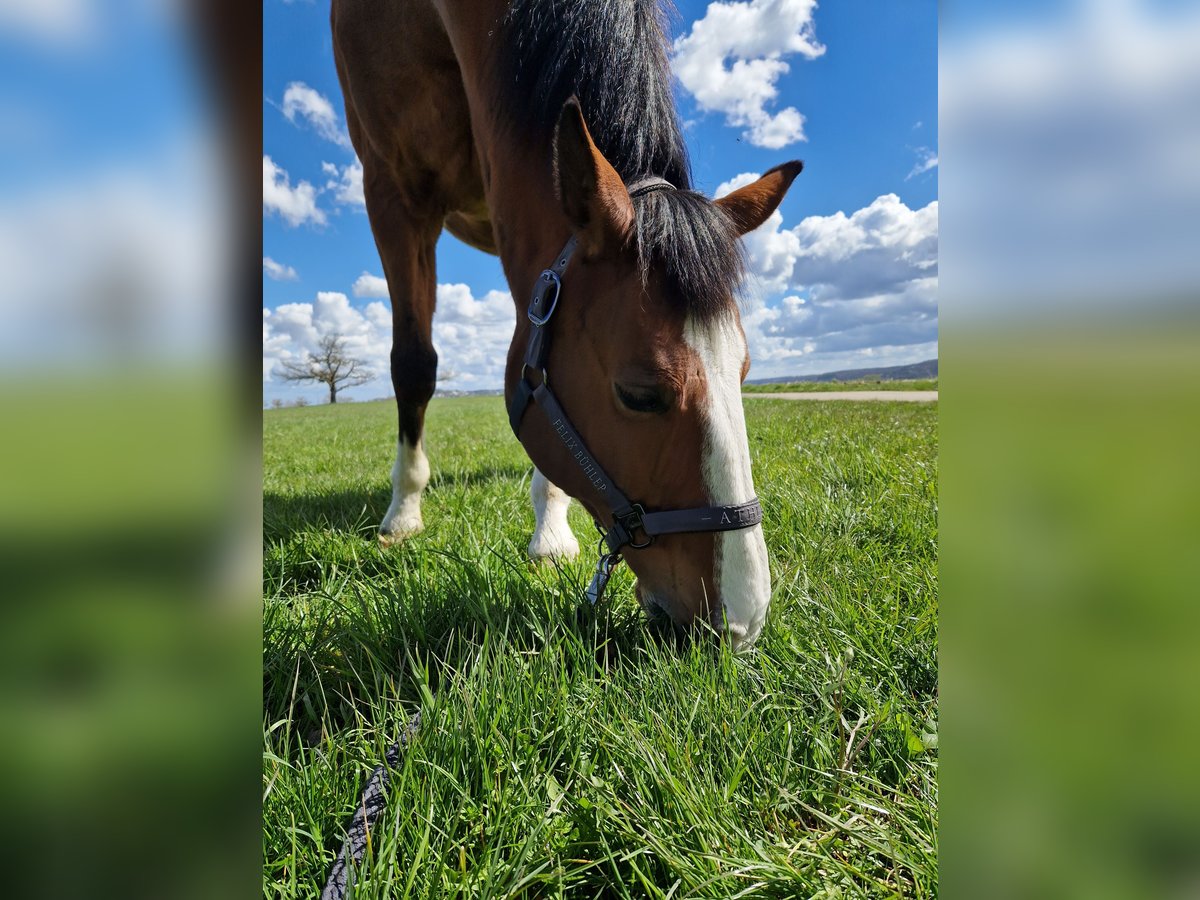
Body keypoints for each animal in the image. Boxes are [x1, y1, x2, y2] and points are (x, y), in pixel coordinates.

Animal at [331, 0, 806, 648]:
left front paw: (551, 531)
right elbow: (414, 364)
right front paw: (403, 512)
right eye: (638, 394)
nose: (742, 620)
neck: (433, 20)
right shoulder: (392, 190)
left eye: (744, 372)